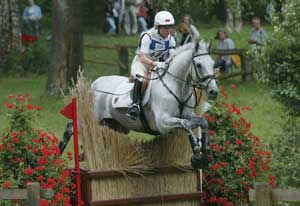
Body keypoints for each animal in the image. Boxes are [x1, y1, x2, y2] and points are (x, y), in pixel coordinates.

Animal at [89, 40, 218, 169]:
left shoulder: (188, 114)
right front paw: (196, 156)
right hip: (98, 120)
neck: (176, 87)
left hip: (117, 126)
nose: (213, 92)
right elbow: (186, 124)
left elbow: (202, 122)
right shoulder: (163, 122)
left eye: (213, 64)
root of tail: (94, 83)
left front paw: (205, 154)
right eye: (199, 65)